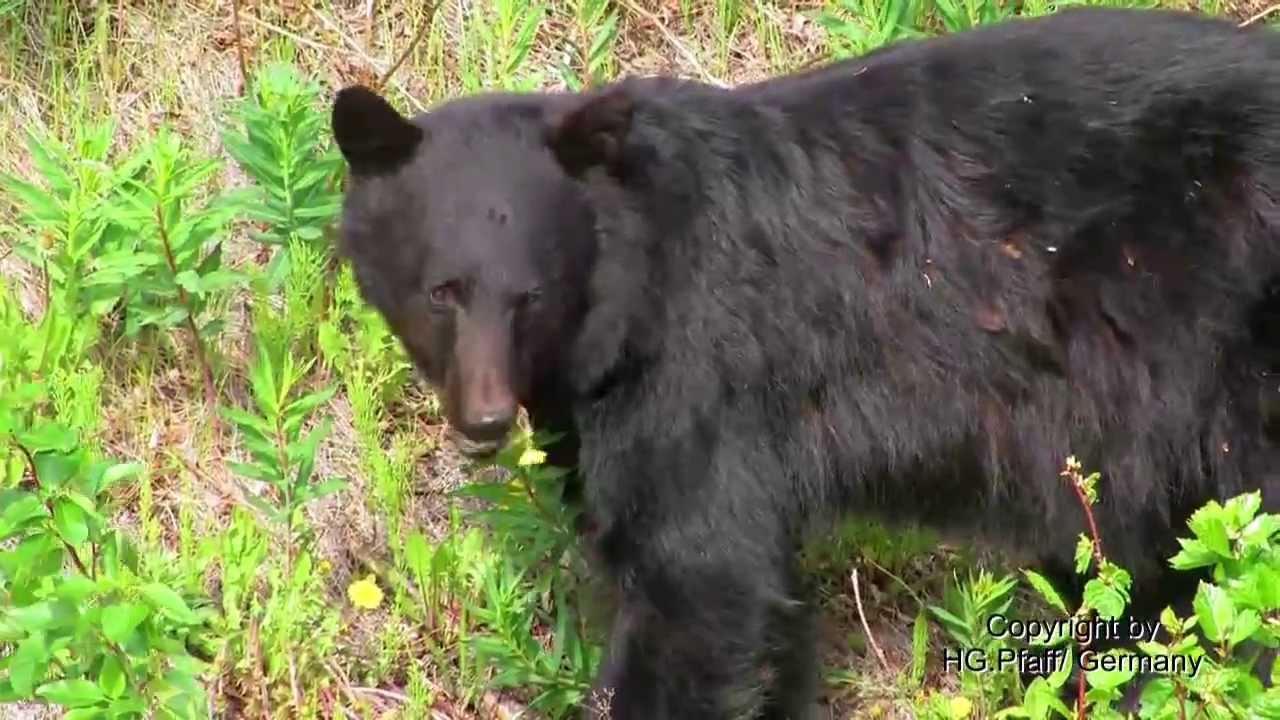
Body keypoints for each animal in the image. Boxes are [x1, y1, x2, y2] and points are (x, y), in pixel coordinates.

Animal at [332, 7, 1280, 720]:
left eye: (531, 294)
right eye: (443, 291)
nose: (485, 419)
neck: (631, 283)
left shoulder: (700, 374)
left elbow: (699, 574)